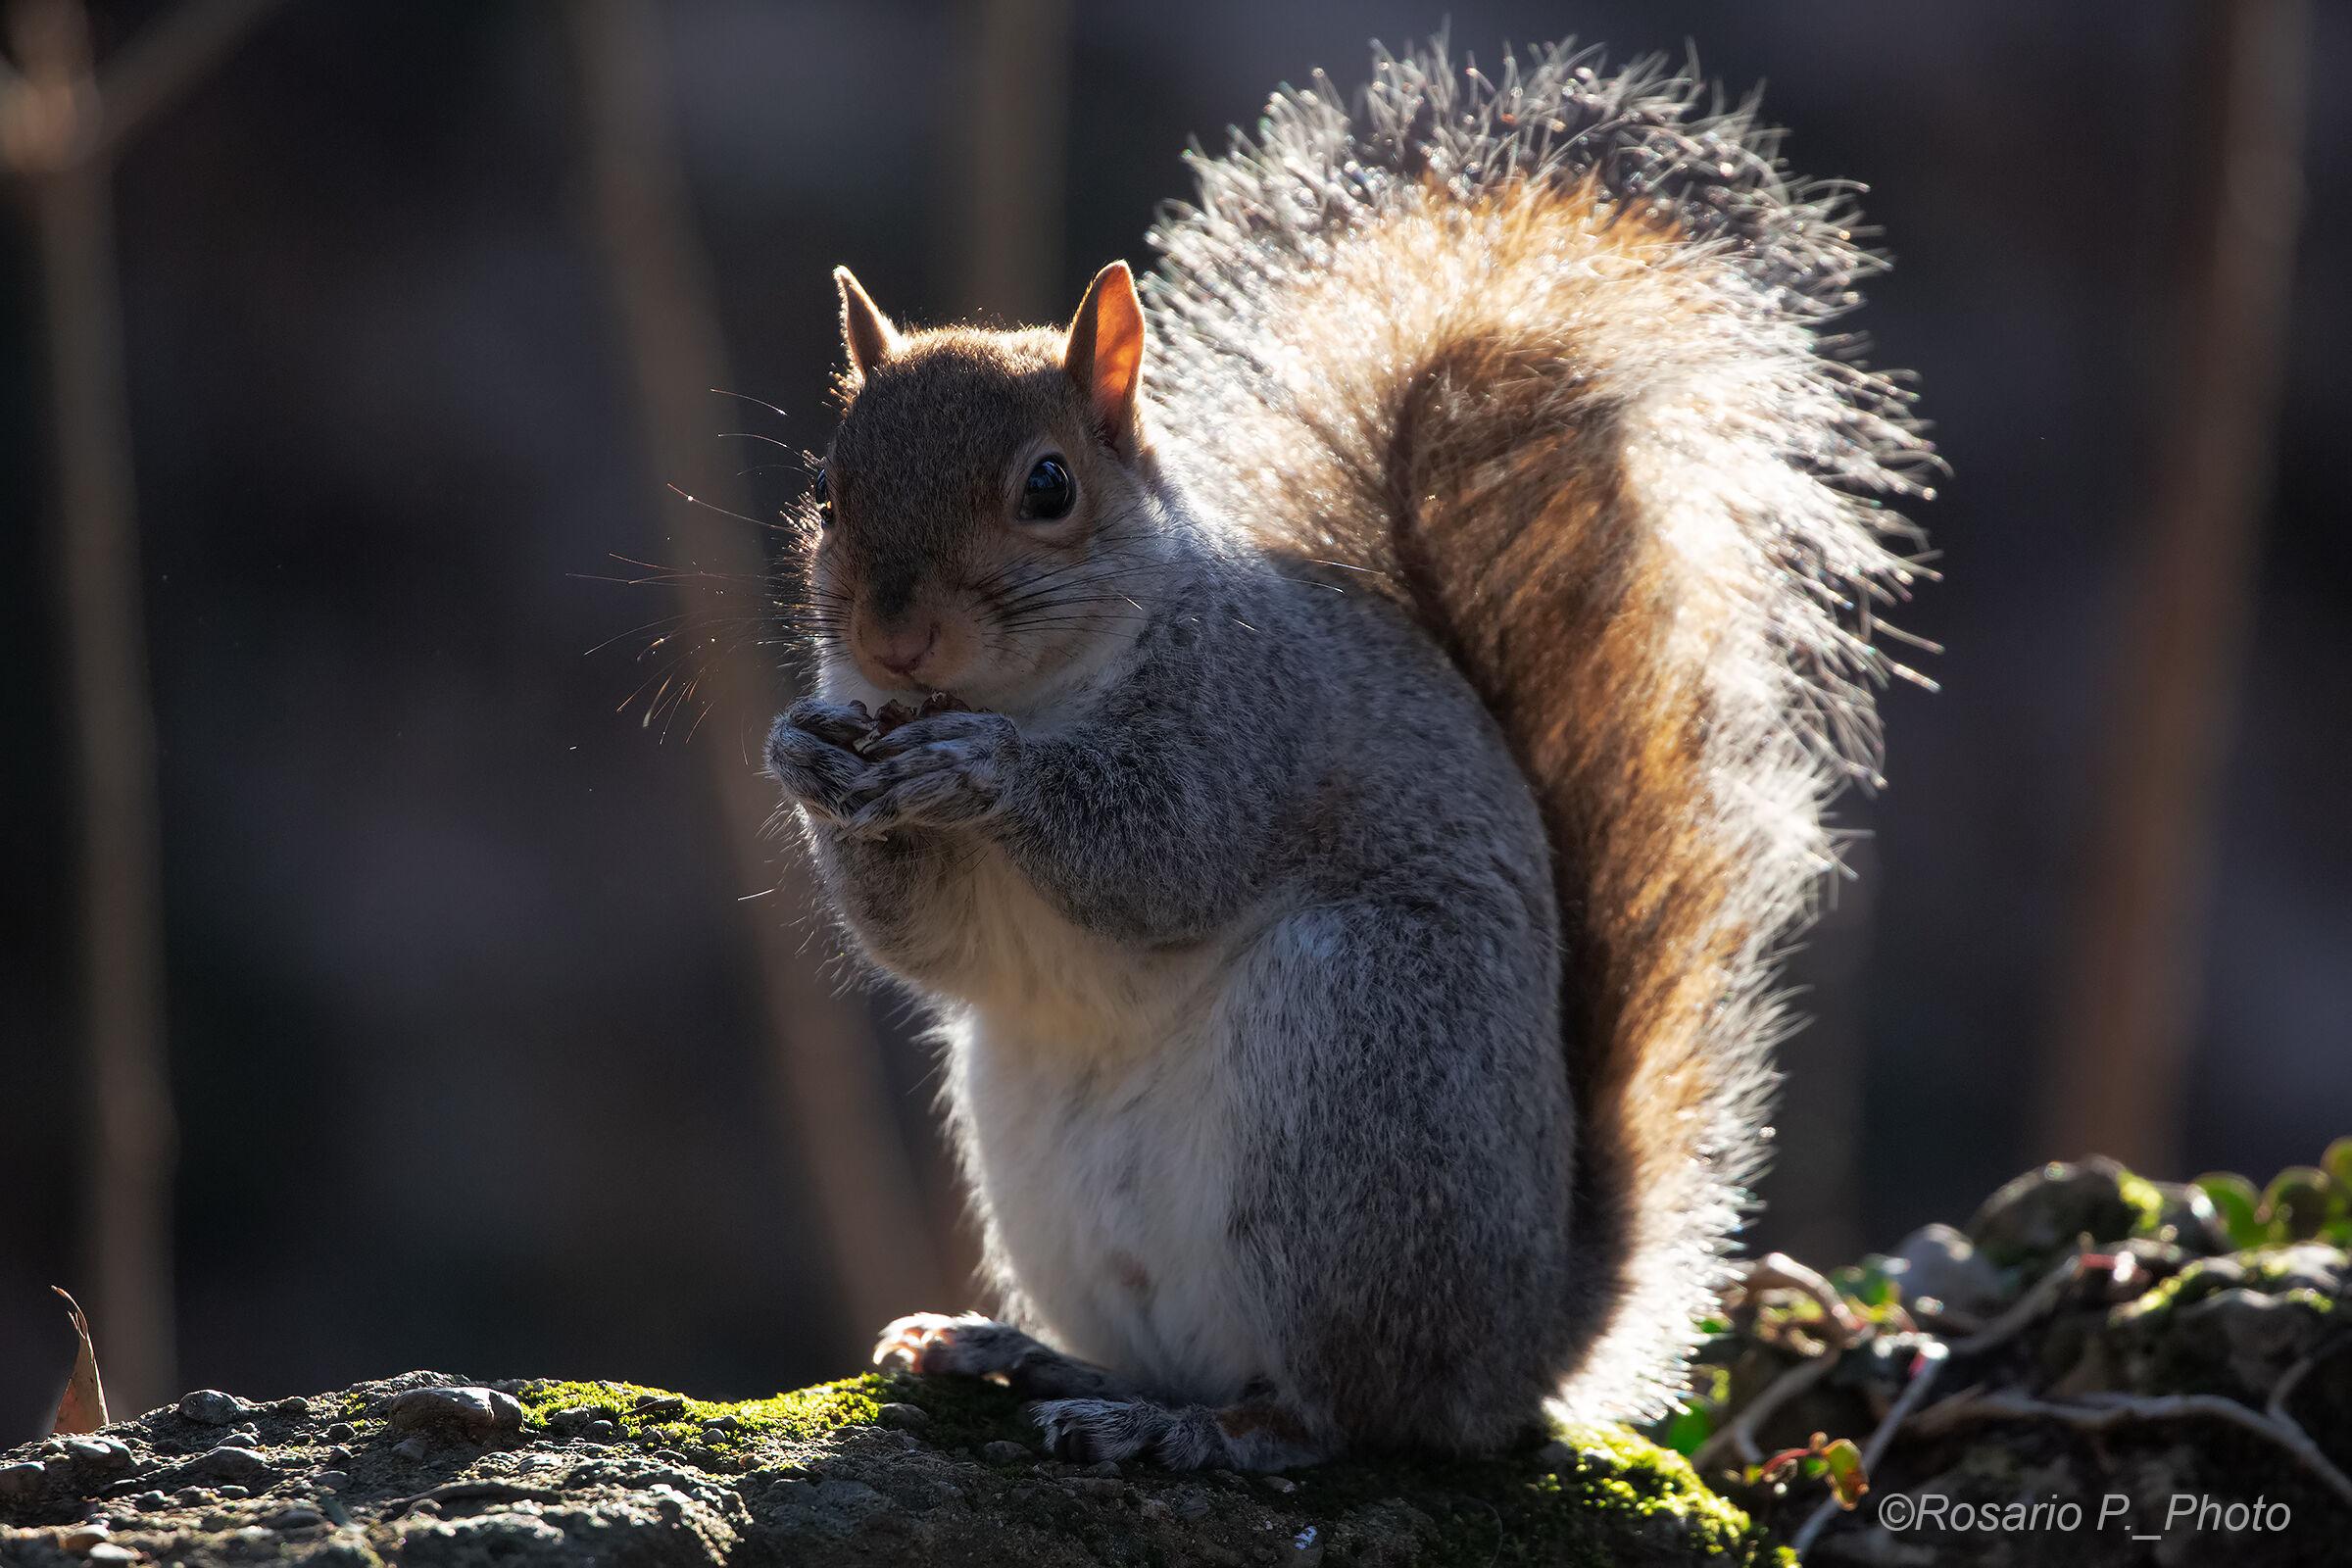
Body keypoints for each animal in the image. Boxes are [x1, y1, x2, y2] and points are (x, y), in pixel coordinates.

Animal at [763, 39, 1931, 1470]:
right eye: (827, 488)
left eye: (1048, 487)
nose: (893, 636)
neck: (1037, 686)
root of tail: (1523, 1349)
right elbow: (923, 942)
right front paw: (805, 757)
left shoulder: (1249, 717)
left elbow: (1164, 853)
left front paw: (982, 768)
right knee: (1177, 1353)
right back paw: (1019, 1353)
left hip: (1353, 1068)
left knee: (1344, 1412)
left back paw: (1200, 1431)